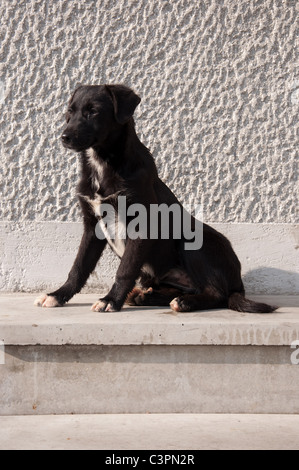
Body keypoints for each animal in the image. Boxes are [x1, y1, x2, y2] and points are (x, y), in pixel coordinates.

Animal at [34, 84, 276, 312]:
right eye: (70, 111)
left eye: (93, 112)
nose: (64, 137)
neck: (102, 163)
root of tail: (239, 284)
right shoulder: (92, 225)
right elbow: (79, 267)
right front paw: (58, 295)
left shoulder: (141, 225)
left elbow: (125, 269)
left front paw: (110, 300)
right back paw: (146, 297)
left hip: (194, 242)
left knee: (217, 293)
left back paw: (184, 303)